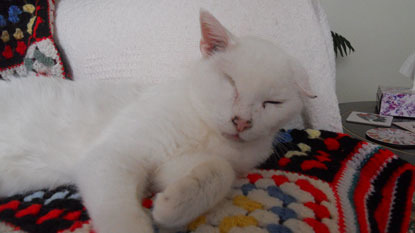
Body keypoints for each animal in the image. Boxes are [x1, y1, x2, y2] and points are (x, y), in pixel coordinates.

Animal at [0, 10, 316, 232]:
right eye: (231, 83)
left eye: (272, 103)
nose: (241, 122)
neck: (205, 130)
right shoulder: (112, 154)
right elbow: (119, 213)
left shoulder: (175, 167)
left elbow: (220, 170)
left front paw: (171, 206)